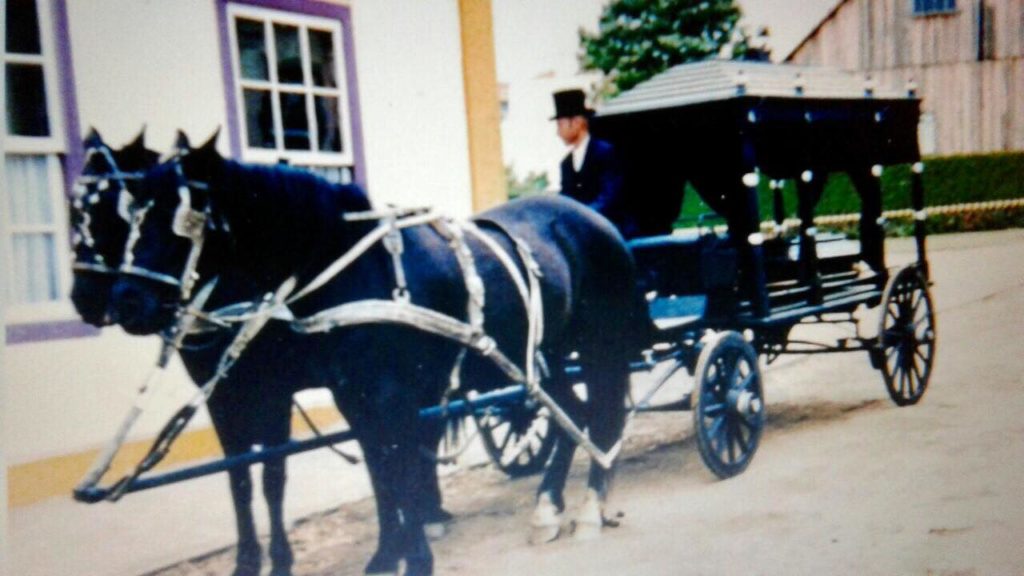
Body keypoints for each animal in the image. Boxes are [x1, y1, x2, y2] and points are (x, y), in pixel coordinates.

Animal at [69, 131, 460, 573]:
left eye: (110, 210)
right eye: (76, 210)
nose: (102, 300)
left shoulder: (277, 393)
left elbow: (274, 473)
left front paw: (281, 558)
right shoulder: (222, 395)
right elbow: (239, 477)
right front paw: (248, 560)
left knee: (416, 437)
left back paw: (426, 517)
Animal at [110, 135, 638, 573]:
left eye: (178, 221)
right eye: (130, 216)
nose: (124, 300)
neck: (351, 269)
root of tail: (590, 218)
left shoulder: (391, 397)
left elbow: (400, 468)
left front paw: (417, 557)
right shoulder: (353, 397)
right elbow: (380, 471)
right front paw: (388, 555)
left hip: (602, 344)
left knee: (604, 413)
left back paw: (591, 509)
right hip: (542, 357)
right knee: (573, 411)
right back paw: (547, 508)